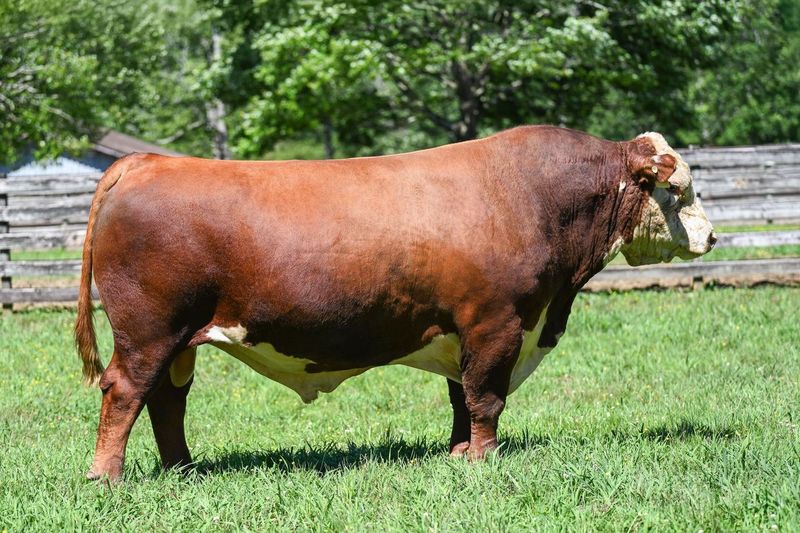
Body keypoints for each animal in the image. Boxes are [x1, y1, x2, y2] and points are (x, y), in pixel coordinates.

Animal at [75, 125, 715, 482]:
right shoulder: (498, 325)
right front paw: (484, 460)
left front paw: (458, 455)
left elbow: (461, 398)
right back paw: (107, 479)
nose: (712, 238)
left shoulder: (465, 331)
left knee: (167, 401)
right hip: (148, 329)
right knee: (126, 392)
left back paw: (181, 468)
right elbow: (487, 398)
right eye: (678, 189)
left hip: (179, 338)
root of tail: (148, 162)